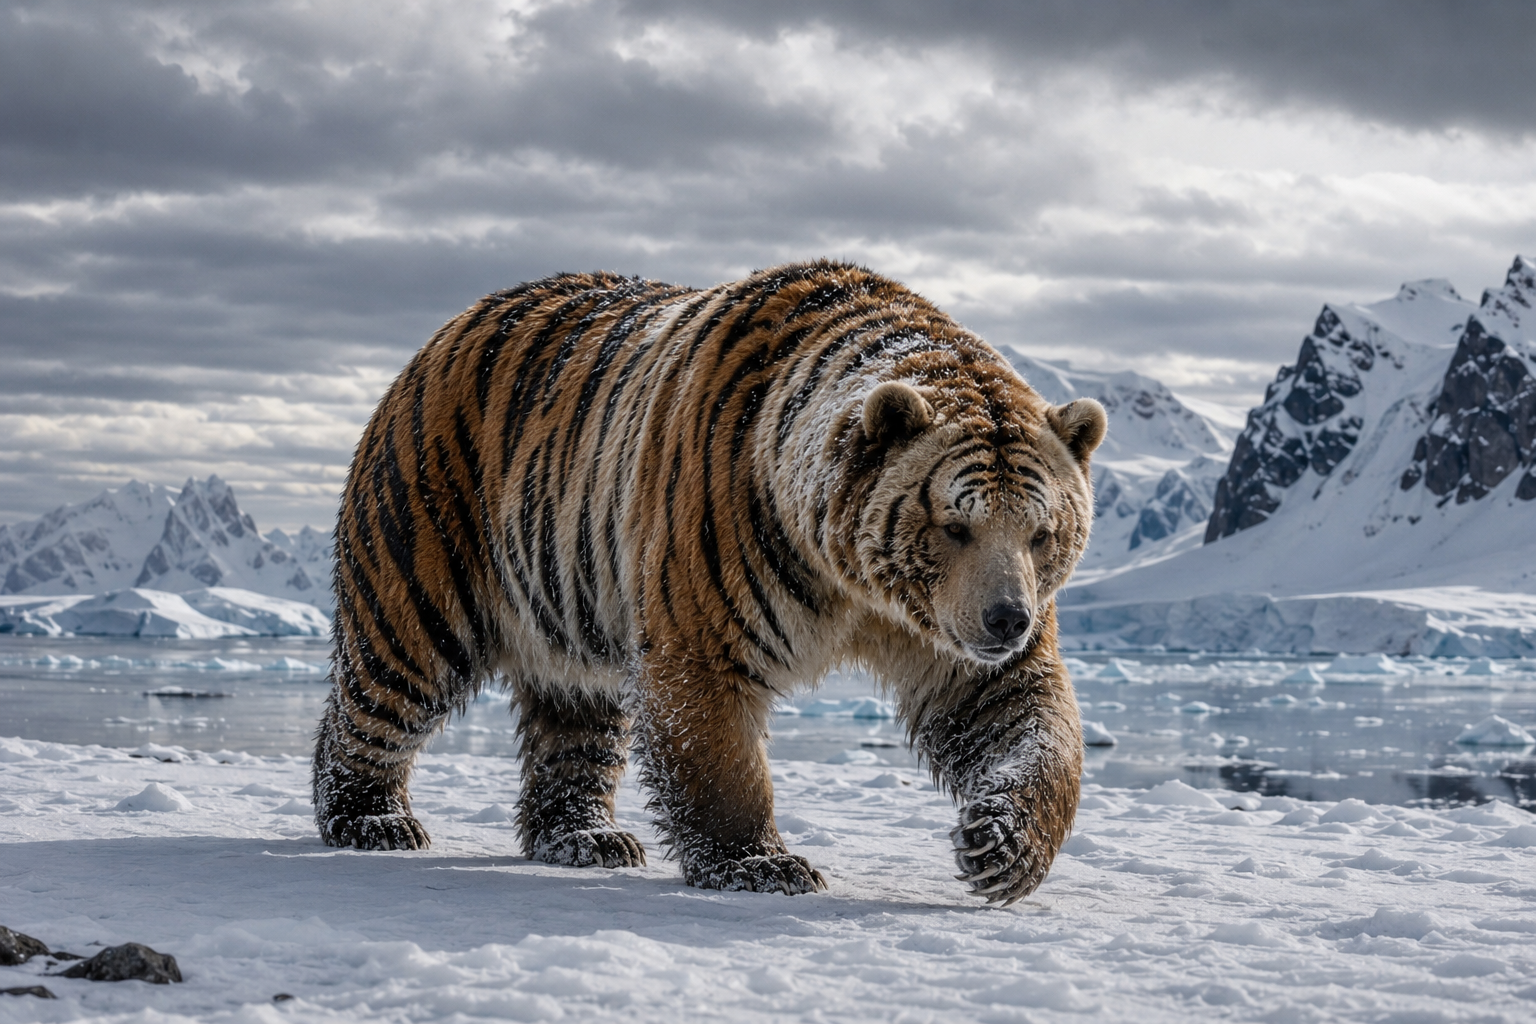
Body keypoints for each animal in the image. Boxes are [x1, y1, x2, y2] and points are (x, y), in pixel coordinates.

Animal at [313, 259, 1106, 905]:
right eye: (954, 523)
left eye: (1042, 530)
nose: (1008, 619)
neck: (851, 582)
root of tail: (451, 327)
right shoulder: (715, 562)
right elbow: (711, 726)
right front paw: (760, 862)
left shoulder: (941, 629)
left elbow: (1014, 712)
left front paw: (1000, 846)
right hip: (430, 531)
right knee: (390, 677)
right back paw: (370, 816)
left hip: (571, 598)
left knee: (579, 715)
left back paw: (586, 836)